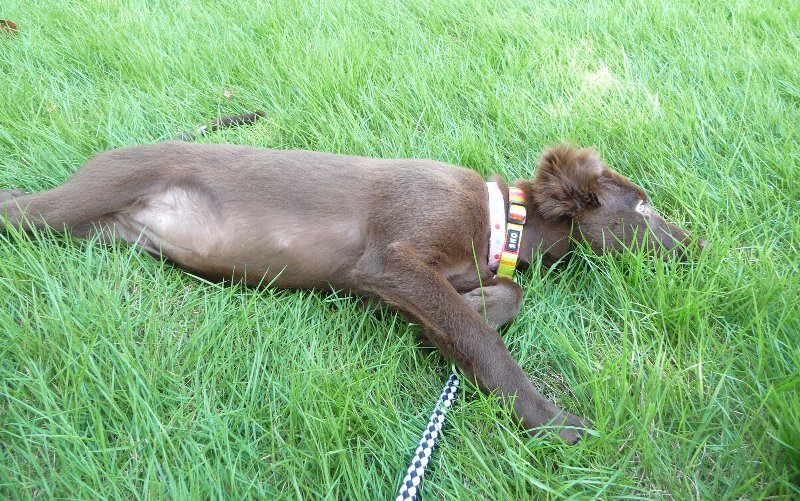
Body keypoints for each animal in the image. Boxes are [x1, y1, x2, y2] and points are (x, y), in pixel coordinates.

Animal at [0, 141, 703, 444]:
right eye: (642, 207)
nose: (699, 247)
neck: (499, 221)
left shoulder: (400, 281)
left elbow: (499, 299)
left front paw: (455, 319)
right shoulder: (391, 259)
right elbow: (483, 339)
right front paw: (551, 420)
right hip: (81, 199)